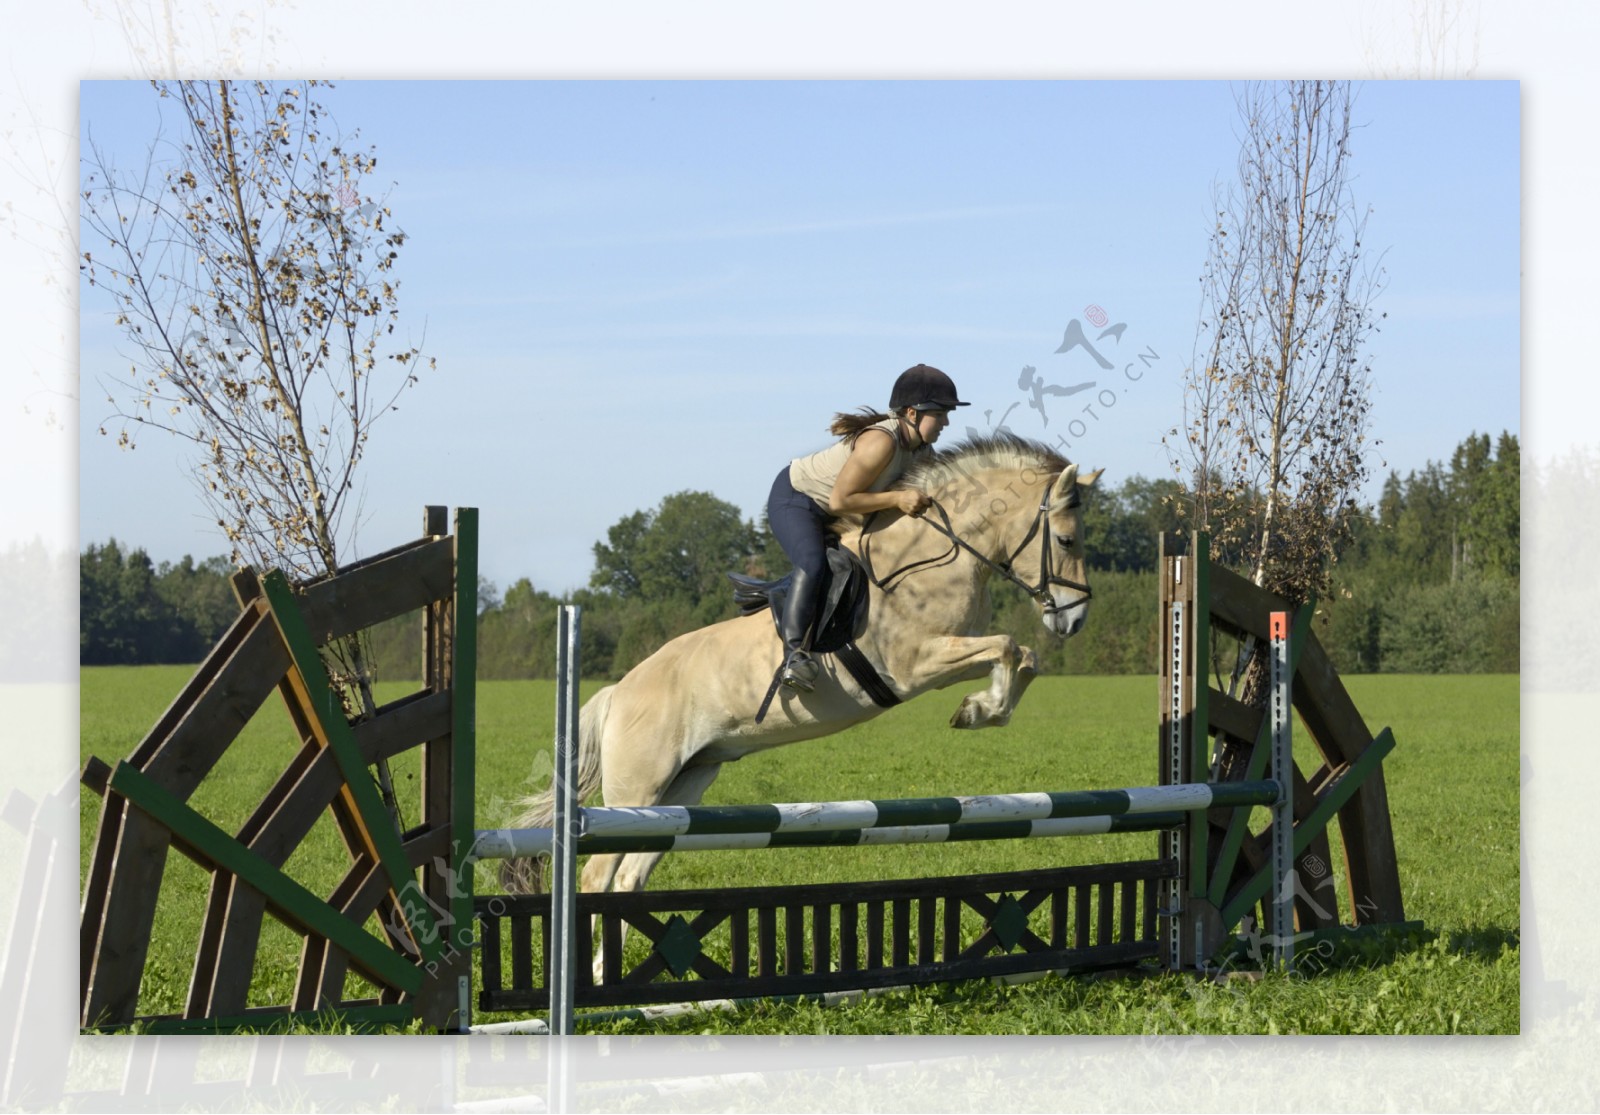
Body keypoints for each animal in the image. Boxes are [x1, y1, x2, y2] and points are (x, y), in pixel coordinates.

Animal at [499, 431, 1100, 972]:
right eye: (1068, 541)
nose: (1073, 620)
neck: (934, 559)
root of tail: (617, 692)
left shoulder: (948, 655)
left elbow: (1022, 655)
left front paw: (980, 709)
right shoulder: (916, 664)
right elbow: (1008, 646)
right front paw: (978, 710)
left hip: (682, 788)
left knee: (628, 878)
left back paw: (606, 974)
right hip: (637, 789)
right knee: (597, 875)